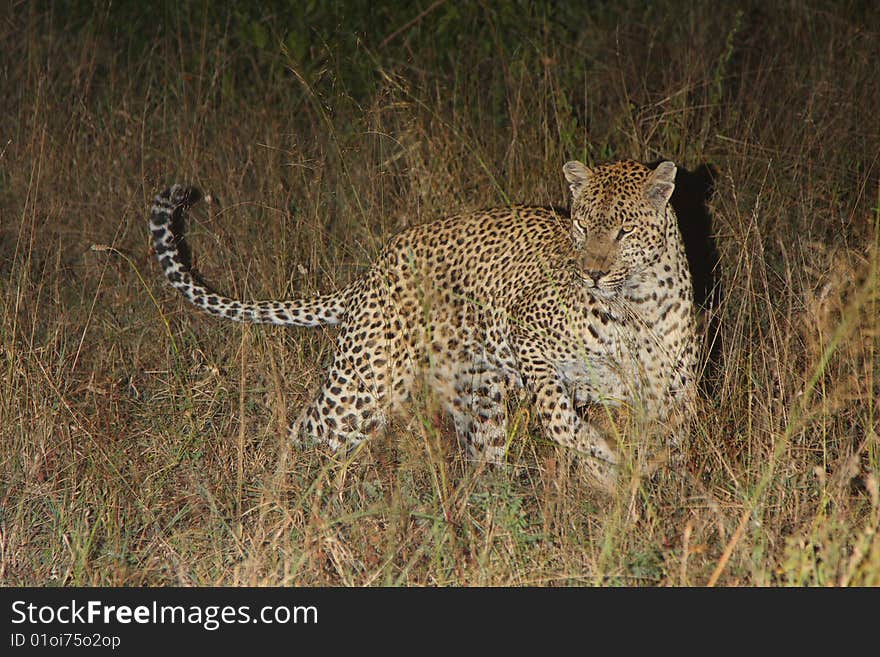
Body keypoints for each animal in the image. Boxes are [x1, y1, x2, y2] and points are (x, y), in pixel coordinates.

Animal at [153, 159, 700, 486]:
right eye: (582, 226)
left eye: (623, 231)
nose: (591, 272)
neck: (636, 303)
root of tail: (372, 272)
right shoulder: (527, 334)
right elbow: (559, 415)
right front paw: (605, 455)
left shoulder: (675, 390)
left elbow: (674, 445)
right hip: (360, 390)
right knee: (303, 437)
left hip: (479, 393)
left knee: (485, 455)